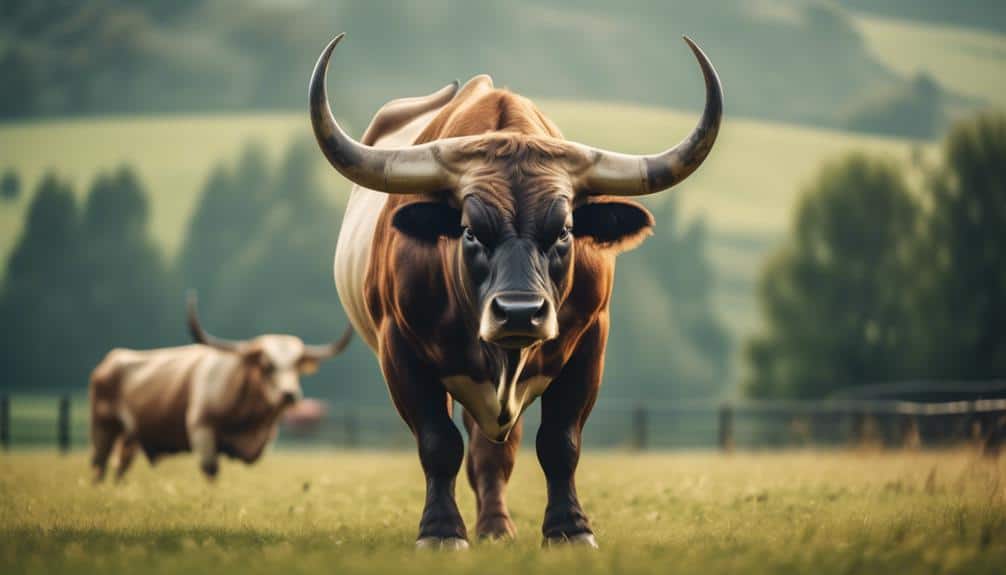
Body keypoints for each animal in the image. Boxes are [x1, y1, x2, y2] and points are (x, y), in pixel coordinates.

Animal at [88, 294, 353, 482]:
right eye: (267, 366)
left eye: (297, 366)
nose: (290, 394)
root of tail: (110, 360)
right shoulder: (201, 427)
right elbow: (211, 469)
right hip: (103, 429)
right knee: (99, 465)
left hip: (129, 437)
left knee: (120, 464)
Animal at [310, 33, 722, 548]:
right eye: (469, 231)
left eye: (564, 230)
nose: (520, 313)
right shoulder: (399, 349)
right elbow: (438, 443)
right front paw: (441, 532)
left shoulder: (590, 344)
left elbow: (559, 443)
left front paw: (570, 529)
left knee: (493, 454)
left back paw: (496, 527)